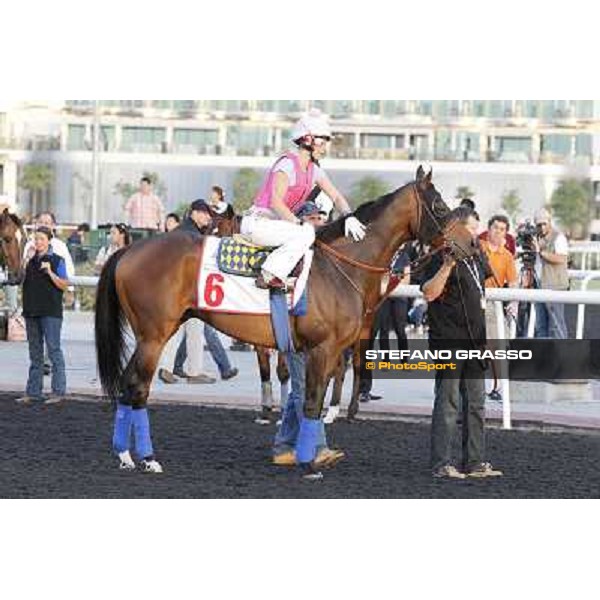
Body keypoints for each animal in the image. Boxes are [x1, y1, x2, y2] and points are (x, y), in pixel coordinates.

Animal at [96, 166, 476, 476]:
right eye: (440, 208)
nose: (470, 244)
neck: (341, 267)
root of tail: (128, 250)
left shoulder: (317, 350)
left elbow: (308, 396)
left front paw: (311, 450)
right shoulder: (321, 349)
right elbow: (309, 401)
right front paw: (308, 462)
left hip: (151, 334)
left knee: (127, 383)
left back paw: (125, 455)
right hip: (154, 335)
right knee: (138, 388)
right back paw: (147, 458)